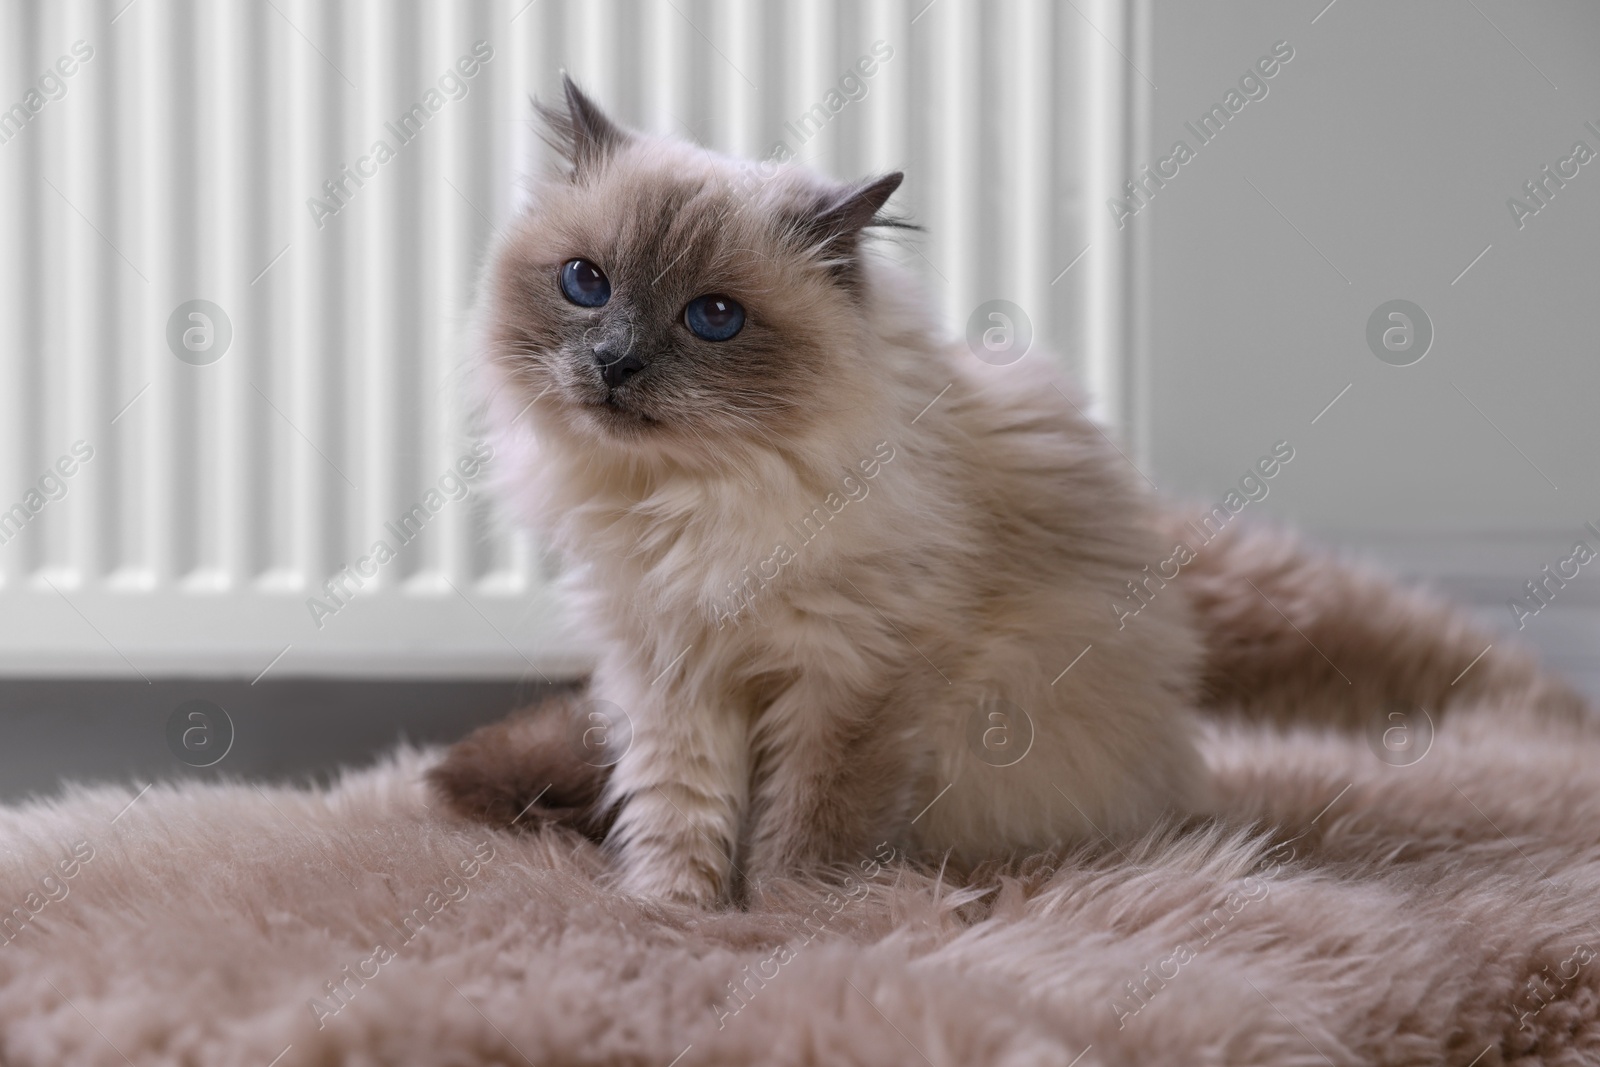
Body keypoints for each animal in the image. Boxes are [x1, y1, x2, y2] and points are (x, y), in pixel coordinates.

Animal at [428, 79, 1587, 908]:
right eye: (587, 283)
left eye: (713, 318)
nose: (614, 363)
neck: (690, 500)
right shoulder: (670, 673)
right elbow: (678, 815)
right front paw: (669, 916)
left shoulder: (854, 676)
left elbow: (811, 825)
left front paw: (786, 924)